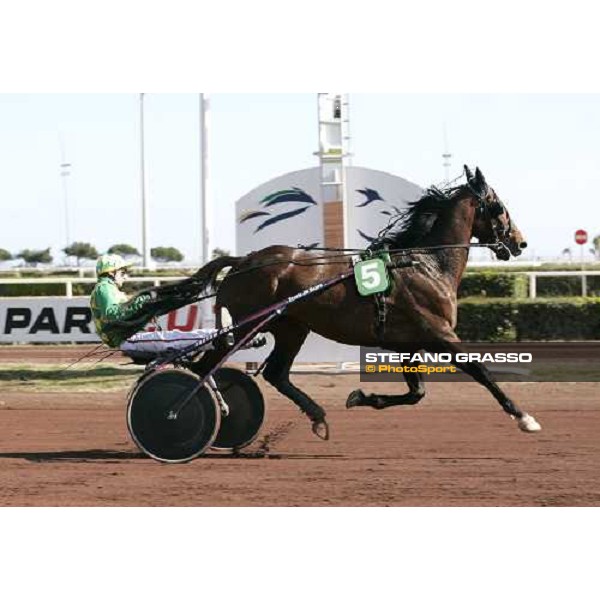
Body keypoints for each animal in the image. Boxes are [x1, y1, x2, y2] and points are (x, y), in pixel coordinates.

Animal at [186, 166, 540, 438]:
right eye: (497, 205)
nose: (520, 242)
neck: (428, 263)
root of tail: (243, 261)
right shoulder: (439, 335)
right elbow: (481, 372)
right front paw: (524, 417)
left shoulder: (409, 345)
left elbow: (416, 394)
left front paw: (360, 397)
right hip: (244, 328)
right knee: (201, 367)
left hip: (291, 328)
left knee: (275, 373)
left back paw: (316, 416)